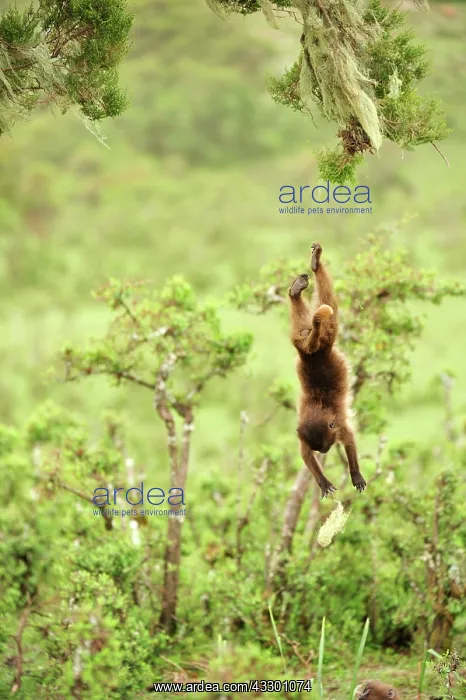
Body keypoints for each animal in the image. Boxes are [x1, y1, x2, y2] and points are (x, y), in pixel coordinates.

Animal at [288, 242, 366, 498]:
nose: (324, 453)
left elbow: (349, 440)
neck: (318, 408)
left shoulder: (337, 425)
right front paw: (323, 481)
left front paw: (355, 473)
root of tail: (311, 352)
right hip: (313, 337)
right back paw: (307, 277)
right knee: (325, 309)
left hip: (309, 336)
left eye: (326, 447)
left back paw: (302, 283)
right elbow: (305, 454)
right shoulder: (309, 432)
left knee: (322, 309)